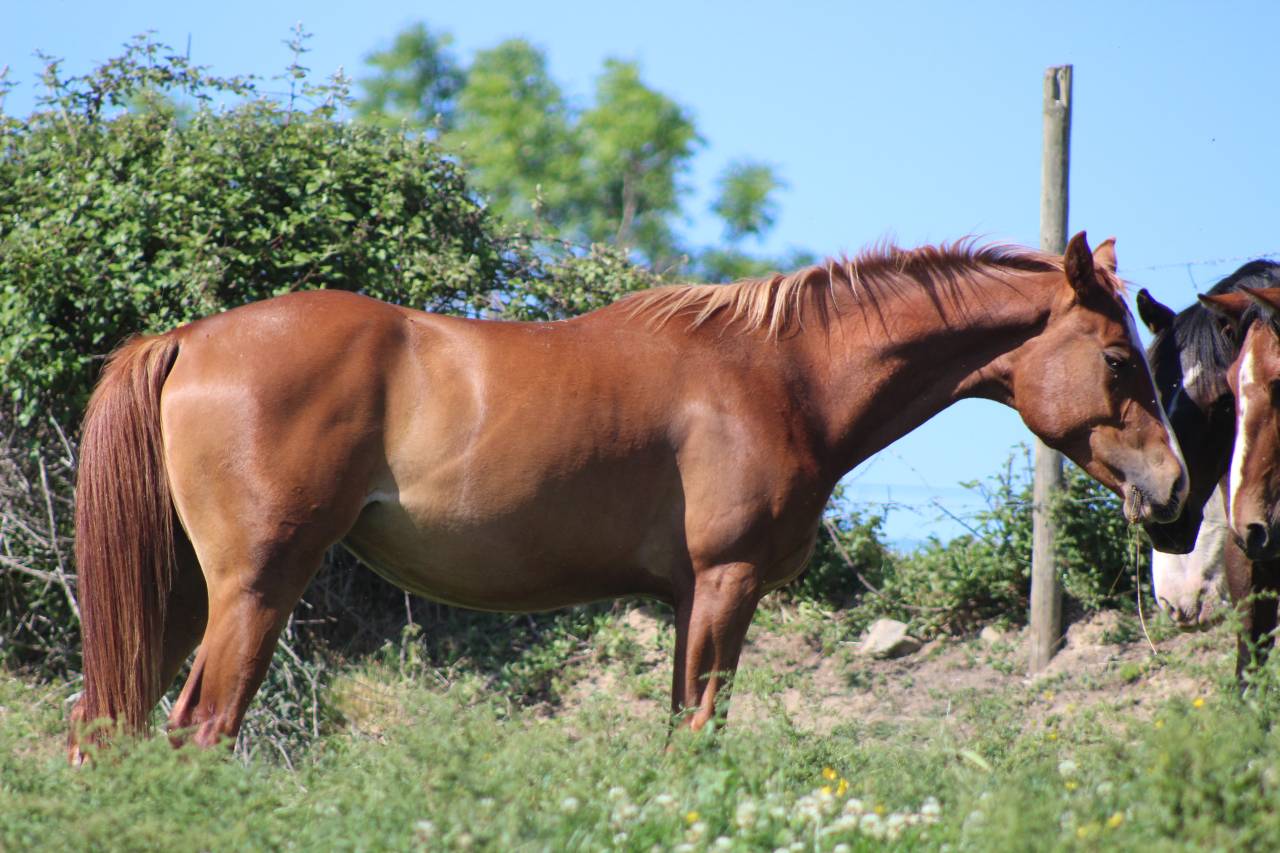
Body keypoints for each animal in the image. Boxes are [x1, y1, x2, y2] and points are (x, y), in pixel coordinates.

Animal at [70, 232, 1186, 759]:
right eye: (1114, 360)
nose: (1174, 487)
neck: (776, 373)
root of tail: (186, 339)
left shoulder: (689, 598)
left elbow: (678, 730)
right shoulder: (725, 584)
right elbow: (698, 734)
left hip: (179, 598)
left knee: (106, 726)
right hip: (254, 590)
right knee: (198, 728)